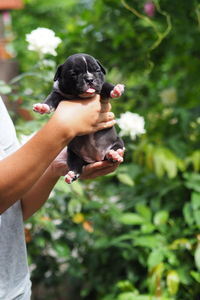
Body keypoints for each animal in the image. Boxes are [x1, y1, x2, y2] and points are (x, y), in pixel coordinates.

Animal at [34, 53, 125, 183]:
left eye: (97, 70)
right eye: (74, 74)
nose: (89, 79)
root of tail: (96, 158)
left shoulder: (101, 88)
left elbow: (107, 86)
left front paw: (116, 89)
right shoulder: (58, 93)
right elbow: (51, 98)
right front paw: (43, 106)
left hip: (117, 141)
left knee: (115, 148)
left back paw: (114, 154)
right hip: (73, 154)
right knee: (76, 165)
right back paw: (72, 174)